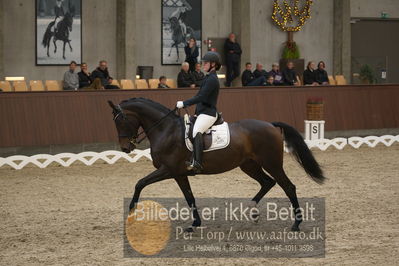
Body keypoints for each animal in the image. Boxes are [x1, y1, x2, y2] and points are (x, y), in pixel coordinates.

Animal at [108, 97, 326, 231]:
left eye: (121, 121)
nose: (125, 148)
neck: (165, 130)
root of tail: (271, 125)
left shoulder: (168, 170)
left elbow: (140, 183)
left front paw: (131, 210)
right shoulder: (179, 174)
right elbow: (189, 197)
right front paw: (195, 223)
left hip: (272, 163)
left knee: (288, 187)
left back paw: (296, 224)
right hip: (249, 165)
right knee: (267, 182)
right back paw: (251, 210)